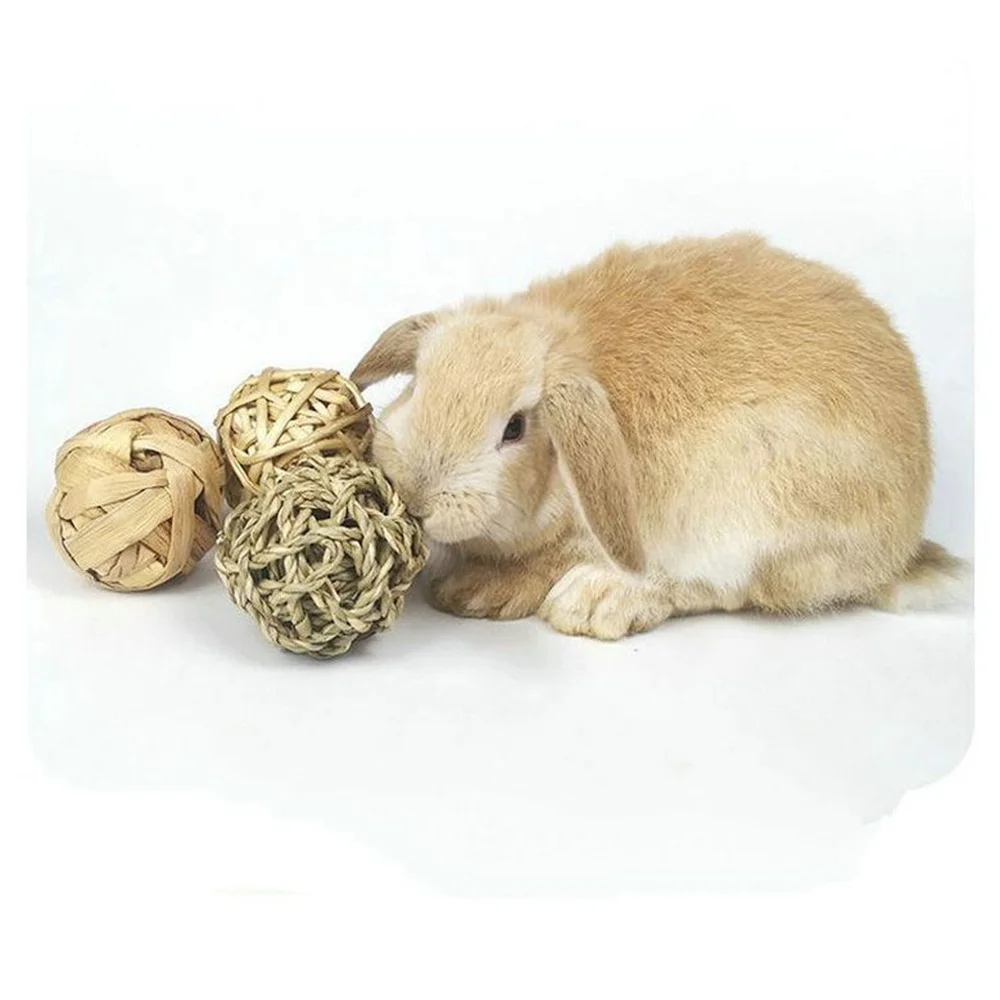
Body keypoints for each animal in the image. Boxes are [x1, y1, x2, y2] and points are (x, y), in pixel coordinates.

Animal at [350, 232, 969, 640]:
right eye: (419, 383)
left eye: (515, 428)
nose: (418, 494)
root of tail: (898, 548)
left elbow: (552, 559)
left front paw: (478, 592)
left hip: (757, 512)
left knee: (724, 590)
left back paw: (598, 602)